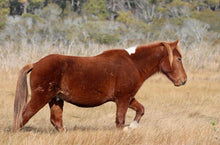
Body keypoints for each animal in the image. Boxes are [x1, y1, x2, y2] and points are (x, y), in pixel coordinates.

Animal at [12, 39, 186, 131]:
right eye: (178, 59)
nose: (183, 80)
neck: (133, 64)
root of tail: (36, 64)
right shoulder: (123, 98)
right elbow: (119, 121)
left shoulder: (128, 98)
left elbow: (141, 110)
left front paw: (132, 127)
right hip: (41, 97)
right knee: (23, 117)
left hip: (56, 99)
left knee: (57, 122)